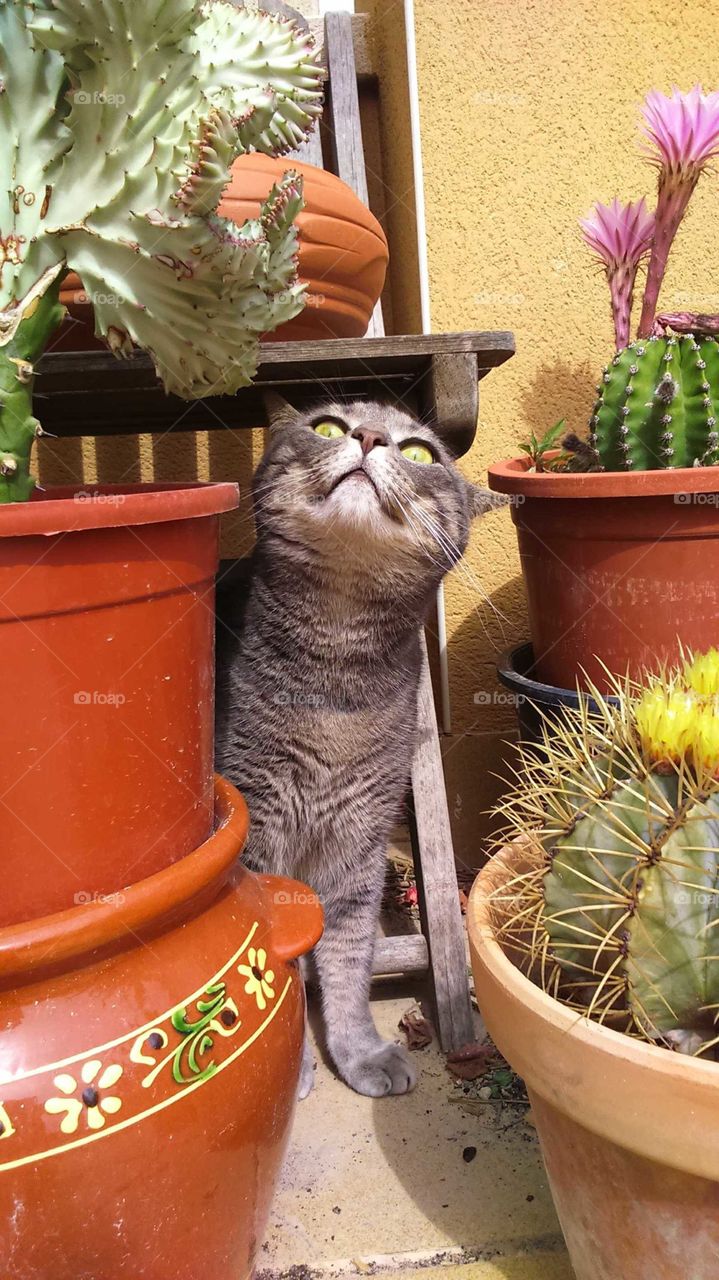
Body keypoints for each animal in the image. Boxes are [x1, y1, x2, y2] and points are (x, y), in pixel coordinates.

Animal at [213, 394, 504, 1095]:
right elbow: (281, 964)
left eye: (420, 450)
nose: (370, 436)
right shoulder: (258, 834)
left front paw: (359, 1051)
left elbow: (346, 959)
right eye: (327, 425)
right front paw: (292, 1066)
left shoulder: (360, 843)